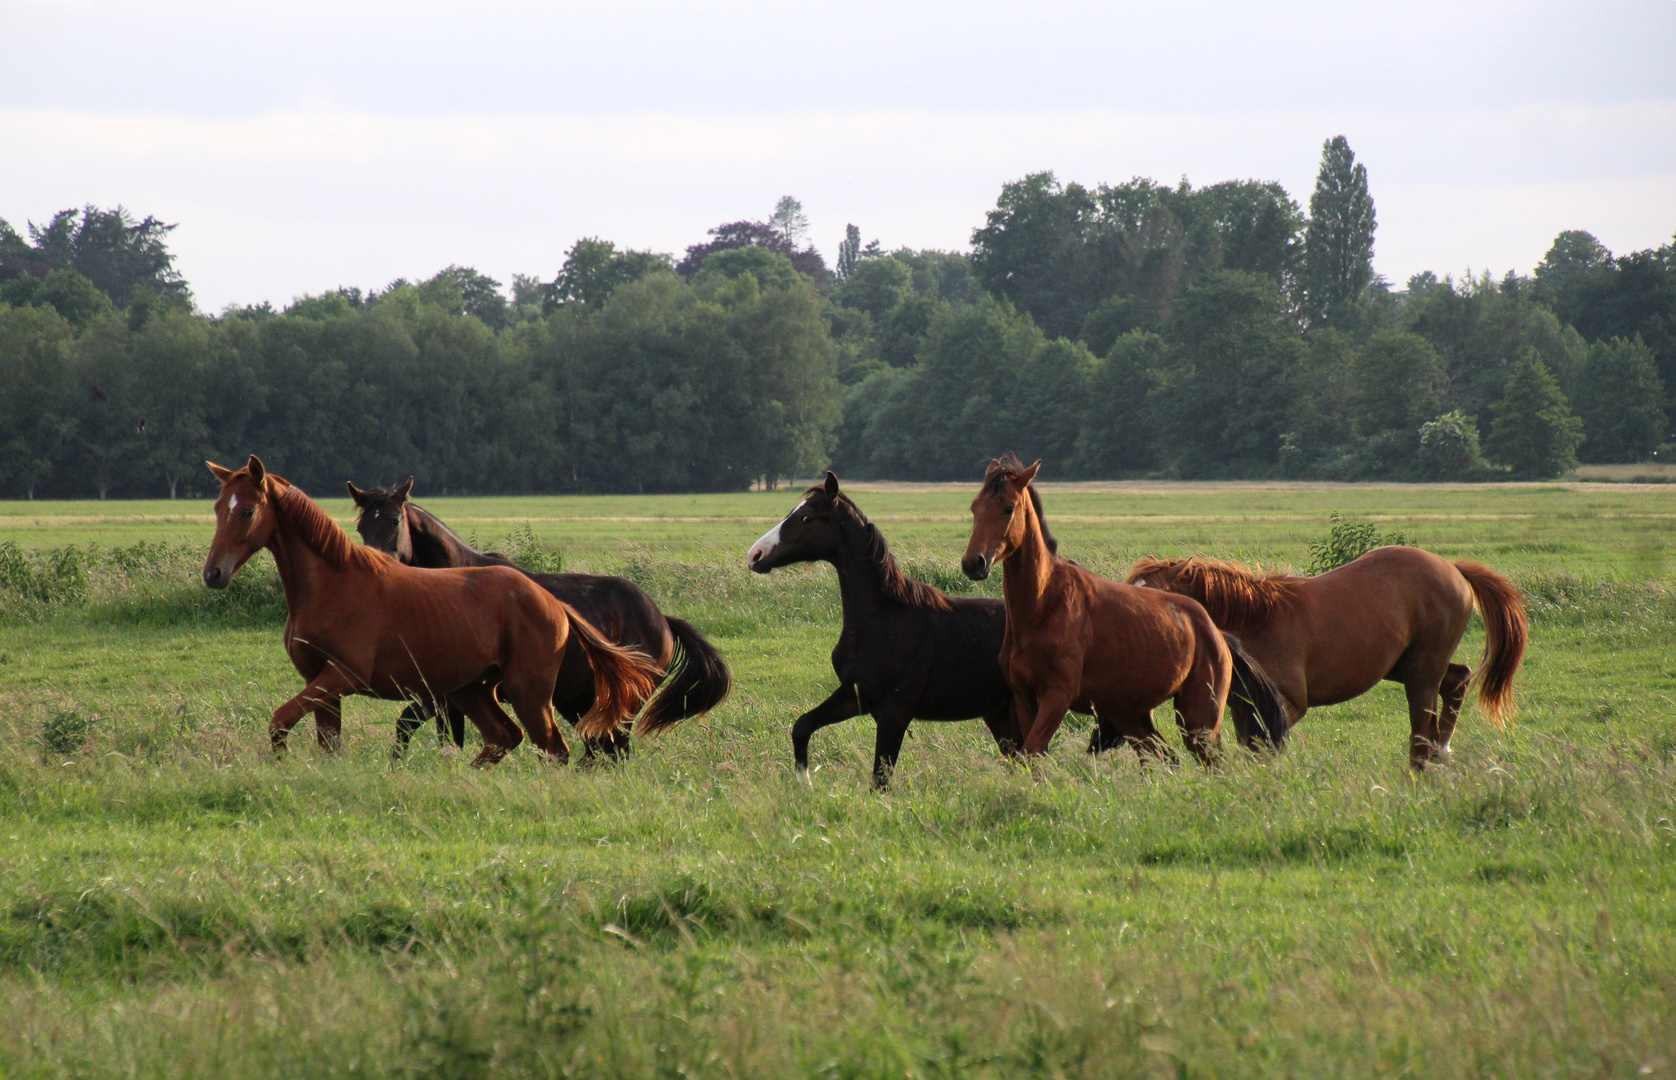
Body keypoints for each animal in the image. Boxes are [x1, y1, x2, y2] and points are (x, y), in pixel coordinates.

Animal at [202, 456, 660, 768]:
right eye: (218, 509)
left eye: (248, 511)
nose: (213, 573)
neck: (332, 585)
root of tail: (553, 603)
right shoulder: (319, 680)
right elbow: (326, 743)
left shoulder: (343, 675)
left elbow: (280, 720)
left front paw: (279, 763)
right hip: (473, 690)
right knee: (504, 738)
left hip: (529, 693)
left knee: (557, 748)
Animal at [345, 476, 727, 754]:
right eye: (362, 526)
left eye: (395, 520)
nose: (373, 566)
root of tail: (662, 620)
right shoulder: (441, 692)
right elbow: (423, 731)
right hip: (579, 700)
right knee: (600, 748)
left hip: (621, 702)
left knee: (612, 748)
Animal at [747, 469, 1019, 784]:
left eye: (806, 518)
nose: (755, 555)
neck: (882, 623)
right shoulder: (853, 696)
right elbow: (802, 725)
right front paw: (805, 784)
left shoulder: (894, 715)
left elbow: (880, 780)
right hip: (999, 713)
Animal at [958, 452, 1280, 758]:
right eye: (974, 507)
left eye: (1008, 508)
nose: (974, 563)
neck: (1044, 606)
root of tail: (1216, 634)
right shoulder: (1025, 699)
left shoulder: (1057, 697)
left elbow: (1032, 751)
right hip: (1131, 715)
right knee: (1160, 756)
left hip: (1198, 718)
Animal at [1126, 550, 1535, 768]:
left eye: (1154, 594)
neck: (1256, 620)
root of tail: (1453, 568)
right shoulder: (1245, 706)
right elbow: (1251, 748)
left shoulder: (1288, 705)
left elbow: (1266, 750)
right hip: (1404, 666)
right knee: (1458, 678)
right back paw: (1442, 751)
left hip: (1422, 669)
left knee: (1424, 723)